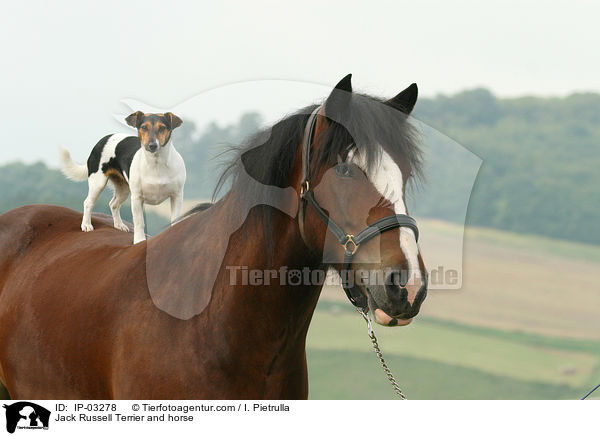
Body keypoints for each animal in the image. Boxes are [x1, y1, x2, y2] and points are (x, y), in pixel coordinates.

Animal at [59, 110, 185, 244]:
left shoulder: (177, 196)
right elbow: (139, 223)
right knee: (88, 203)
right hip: (97, 183)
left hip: (124, 189)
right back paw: (86, 225)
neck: (156, 163)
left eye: (162, 128)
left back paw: (119, 225)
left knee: (113, 204)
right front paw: (139, 241)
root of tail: (103, 139)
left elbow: (175, 221)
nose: (152, 145)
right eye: (143, 127)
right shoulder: (137, 198)